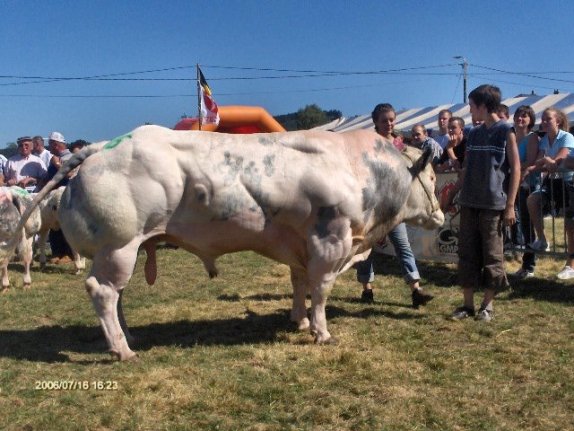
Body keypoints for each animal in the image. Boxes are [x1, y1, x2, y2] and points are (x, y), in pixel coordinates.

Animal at [11, 125, 448, 362]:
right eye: (430, 177)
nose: (442, 216)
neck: (360, 169)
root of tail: (102, 146)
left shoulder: (300, 246)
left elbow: (299, 284)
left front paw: (299, 319)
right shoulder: (330, 241)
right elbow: (321, 290)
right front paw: (320, 331)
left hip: (117, 251)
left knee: (115, 296)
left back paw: (127, 337)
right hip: (119, 247)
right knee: (103, 292)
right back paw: (122, 350)